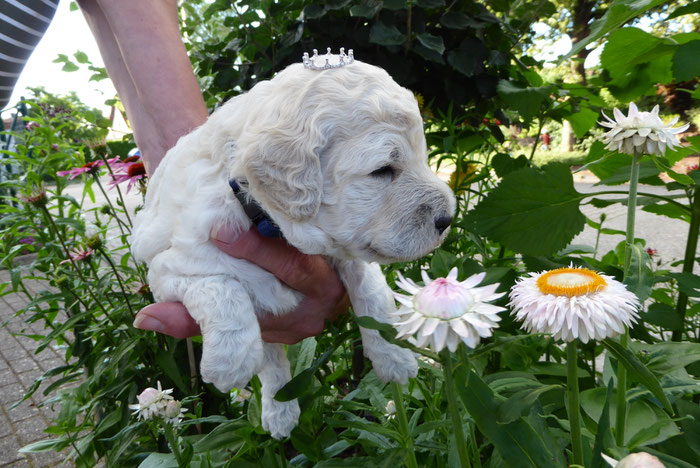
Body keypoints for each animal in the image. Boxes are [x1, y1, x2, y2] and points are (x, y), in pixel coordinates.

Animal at [131, 57, 456, 438]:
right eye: (382, 170)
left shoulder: (349, 251)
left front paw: (397, 357)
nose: (447, 219)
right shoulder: (167, 268)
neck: (263, 217)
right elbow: (219, 286)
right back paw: (277, 411)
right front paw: (228, 362)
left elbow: (373, 295)